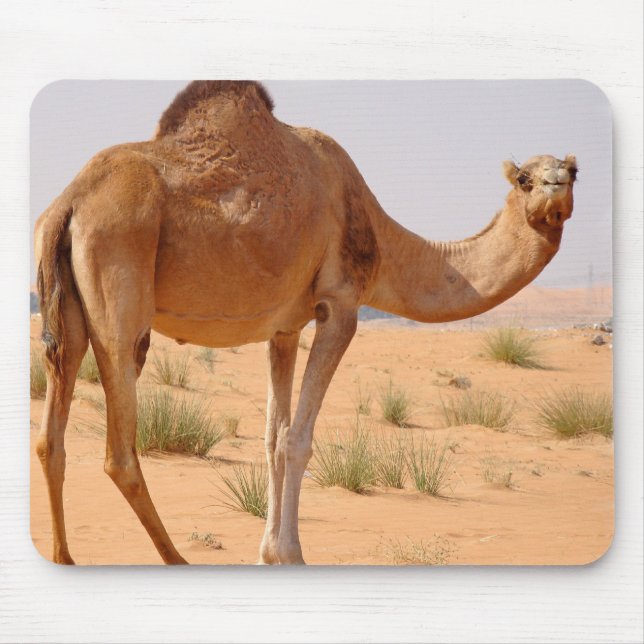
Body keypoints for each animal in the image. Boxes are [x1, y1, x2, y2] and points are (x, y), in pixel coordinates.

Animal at [34, 81, 577, 565]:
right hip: (121, 284)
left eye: (572, 170)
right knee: (119, 450)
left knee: (50, 436)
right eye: (525, 178)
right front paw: (289, 554)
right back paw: (175, 558)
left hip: (67, 311)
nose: (556, 184)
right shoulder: (341, 305)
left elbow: (273, 437)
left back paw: (65, 557)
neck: (381, 239)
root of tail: (68, 203)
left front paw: (267, 554)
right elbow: (297, 439)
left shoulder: (284, 328)